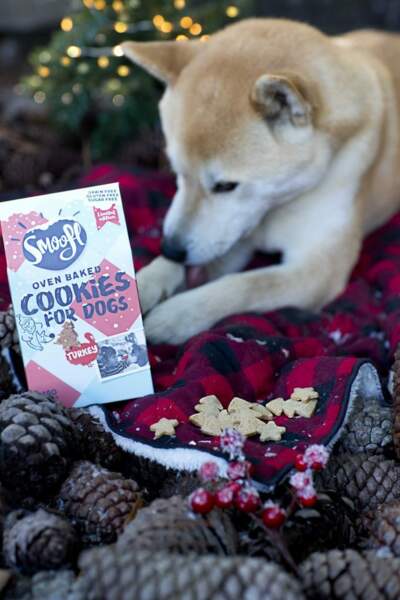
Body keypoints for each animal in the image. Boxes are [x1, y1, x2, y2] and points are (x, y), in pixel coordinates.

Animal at [123, 18, 400, 344]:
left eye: (225, 186)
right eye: (178, 172)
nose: (171, 248)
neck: (276, 206)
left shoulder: (318, 271)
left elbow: (246, 285)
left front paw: (178, 315)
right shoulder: (232, 236)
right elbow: (174, 268)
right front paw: (140, 284)